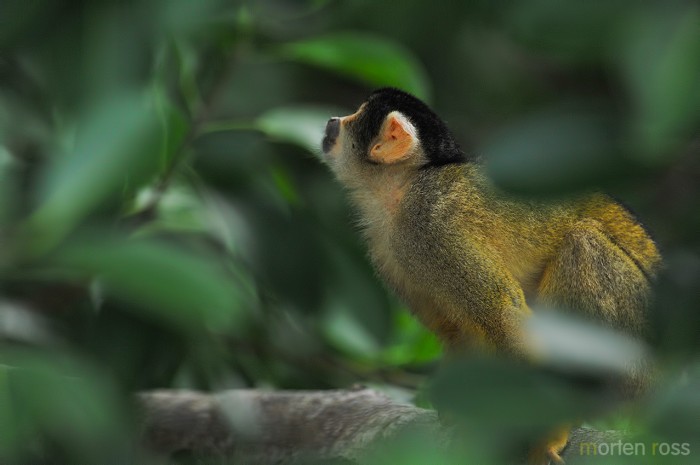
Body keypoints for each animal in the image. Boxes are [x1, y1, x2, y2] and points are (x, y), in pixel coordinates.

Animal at [320, 88, 660, 464]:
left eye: (355, 115)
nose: (333, 120)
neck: (403, 187)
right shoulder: (385, 246)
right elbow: (456, 332)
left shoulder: (429, 222)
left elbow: (502, 315)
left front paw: (547, 431)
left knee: (581, 244)